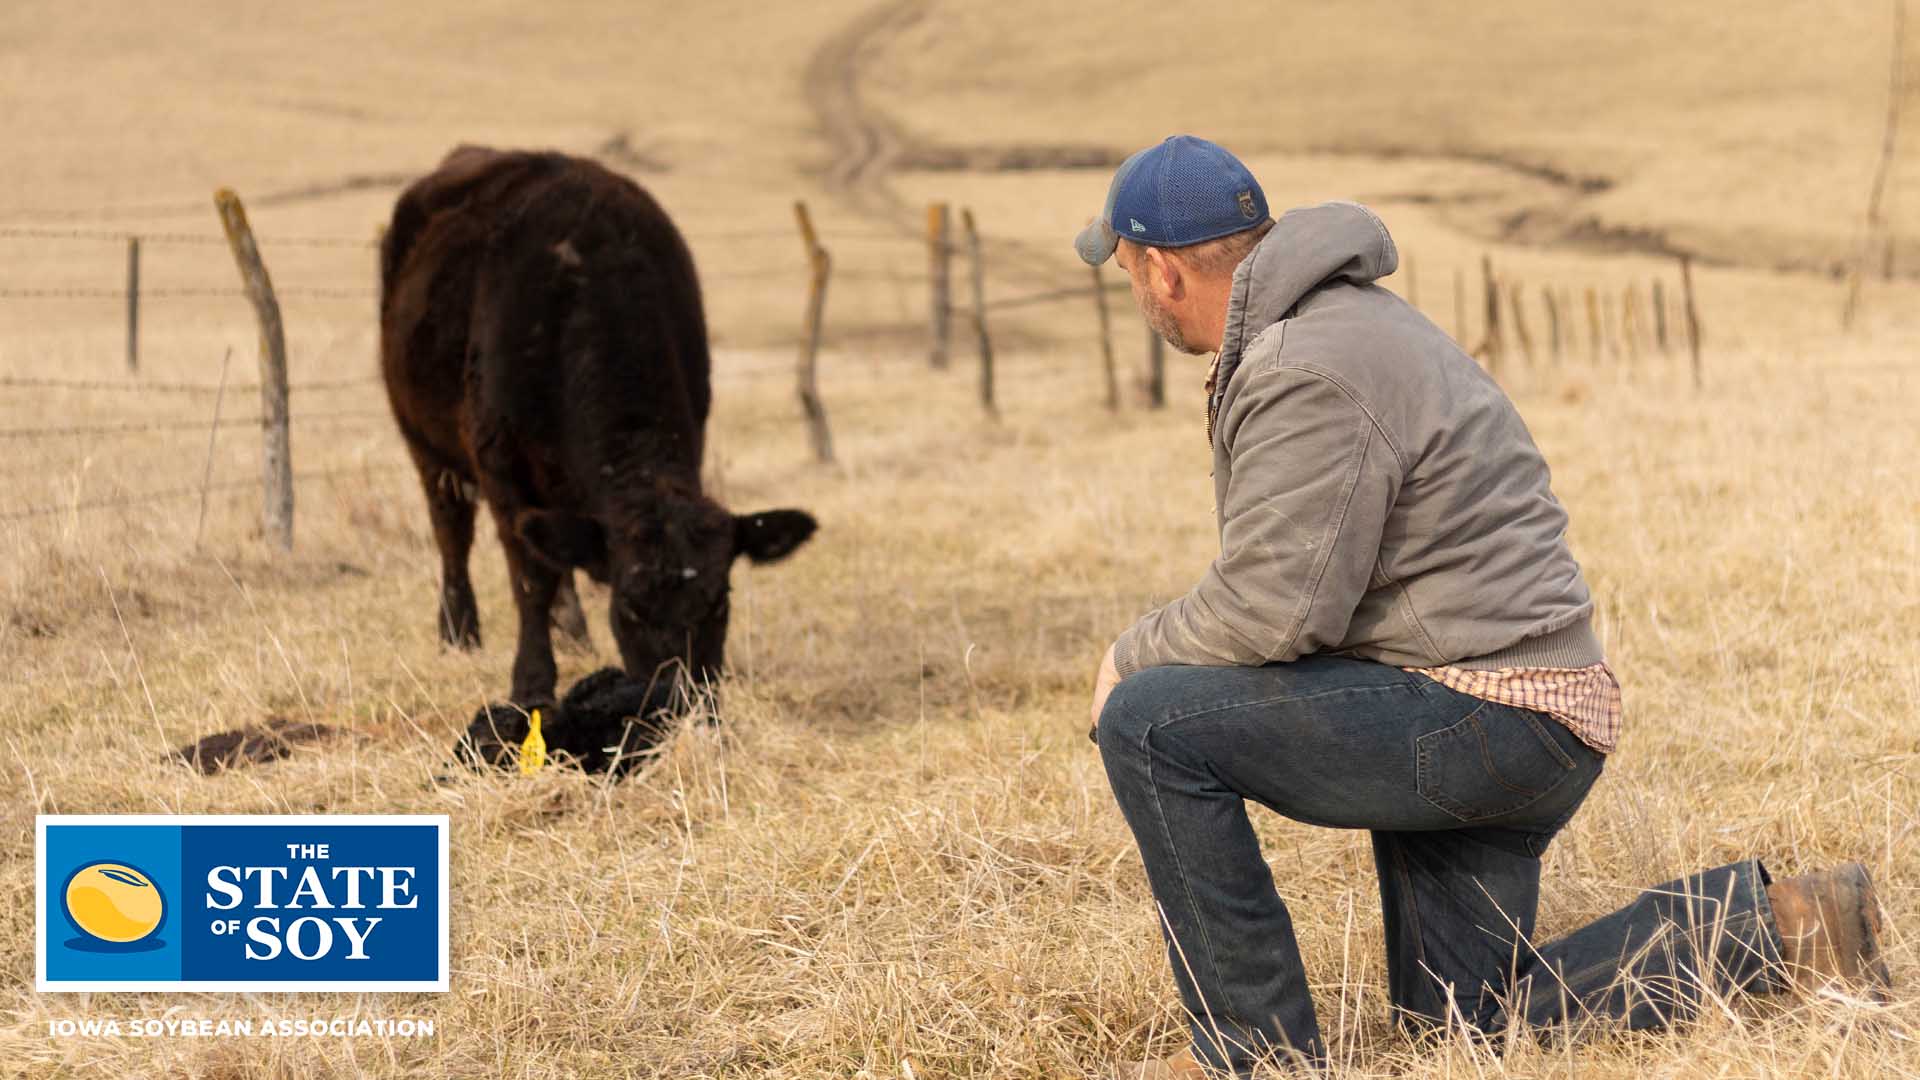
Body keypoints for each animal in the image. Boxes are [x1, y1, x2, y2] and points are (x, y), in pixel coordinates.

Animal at [379, 146, 816, 705]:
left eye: (720, 601)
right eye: (628, 606)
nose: (683, 699)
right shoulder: (500, 462)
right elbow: (530, 576)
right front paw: (532, 683)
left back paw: (572, 632)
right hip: (424, 442)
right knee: (451, 531)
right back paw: (459, 633)